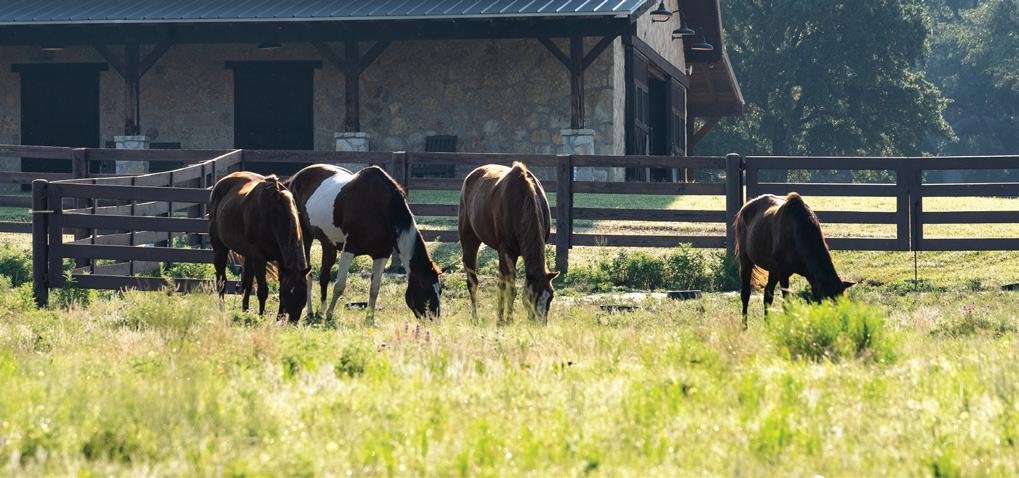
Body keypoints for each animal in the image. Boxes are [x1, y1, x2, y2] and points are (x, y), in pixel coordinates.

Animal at [209, 172, 310, 322]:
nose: (293, 320)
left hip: (247, 255)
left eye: (303, 295)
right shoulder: (259, 258)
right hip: (220, 248)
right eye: (289, 294)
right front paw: (261, 316)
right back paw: (222, 310)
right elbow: (263, 291)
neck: (274, 213)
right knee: (222, 281)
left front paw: (278, 318)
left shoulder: (281, 260)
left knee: (246, 283)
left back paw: (245, 310)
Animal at [286, 164, 443, 322]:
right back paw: (311, 312)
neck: (379, 207)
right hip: (306, 238)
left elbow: (374, 288)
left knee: (324, 277)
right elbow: (339, 285)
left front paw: (369, 319)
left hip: (328, 243)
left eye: (440, 290)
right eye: (425, 289)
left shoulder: (382, 254)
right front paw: (330, 315)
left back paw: (321, 311)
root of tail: (294, 179)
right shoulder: (349, 249)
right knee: (308, 275)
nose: (434, 319)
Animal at [459, 162, 558, 324]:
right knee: (473, 281)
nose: (540, 324)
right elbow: (509, 289)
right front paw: (506, 320)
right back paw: (476, 318)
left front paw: (506, 319)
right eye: (532, 297)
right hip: (470, 241)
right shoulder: (507, 251)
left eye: (551, 296)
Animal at [734, 192, 855, 327]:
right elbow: (786, 304)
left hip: (772, 270)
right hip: (746, 260)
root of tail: (744, 207)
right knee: (745, 294)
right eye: (825, 301)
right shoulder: (783, 273)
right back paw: (744, 326)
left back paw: (767, 326)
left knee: (767, 294)